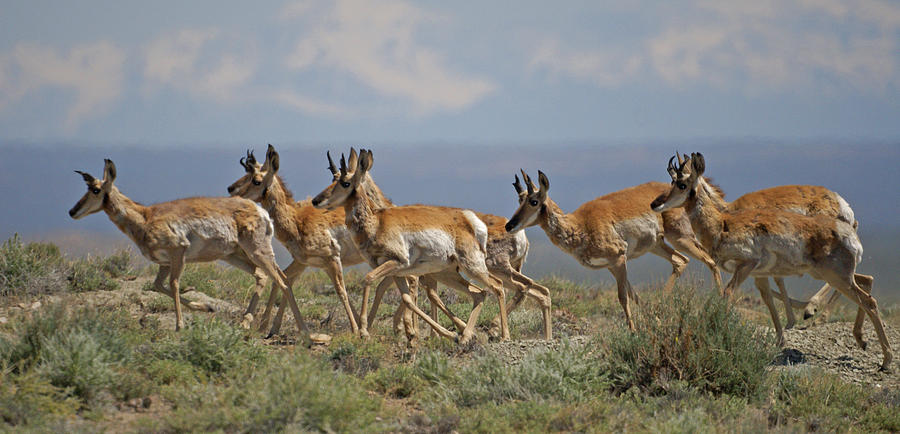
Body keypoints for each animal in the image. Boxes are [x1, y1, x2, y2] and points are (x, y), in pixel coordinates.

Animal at [69, 158, 312, 344]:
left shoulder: (178, 252)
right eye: (87, 188)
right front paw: (206, 307)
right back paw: (250, 322)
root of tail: (260, 211)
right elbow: (158, 285)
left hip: (257, 251)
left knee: (282, 281)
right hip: (235, 255)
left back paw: (305, 336)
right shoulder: (164, 263)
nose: (72, 211)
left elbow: (175, 284)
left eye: (96, 190)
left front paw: (179, 325)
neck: (145, 216)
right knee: (266, 276)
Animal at [312, 147, 506, 344]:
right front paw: (441, 334)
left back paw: (502, 335)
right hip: (448, 273)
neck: (377, 223)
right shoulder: (397, 271)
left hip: (472, 268)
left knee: (496, 285)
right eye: (333, 179)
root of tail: (469, 222)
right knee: (479, 293)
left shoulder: (397, 263)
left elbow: (368, 279)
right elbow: (407, 299)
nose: (316, 201)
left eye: (345, 183)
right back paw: (465, 336)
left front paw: (365, 331)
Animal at [506, 170, 724, 328]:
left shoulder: (619, 259)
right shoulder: (611, 266)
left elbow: (623, 297)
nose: (509, 226)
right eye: (519, 200)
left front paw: (633, 330)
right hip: (658, 245)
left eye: (534, 201)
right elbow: (633, 295)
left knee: (710, 261)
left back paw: (722, 307)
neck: (581, 225)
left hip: (680, 238)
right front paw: (651, 321)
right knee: (681, 261)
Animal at [652, 153, 888, 370]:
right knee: (867, 282)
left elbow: (728, 294)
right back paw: (860, 340)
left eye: (681, 184)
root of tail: (848, 226)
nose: (655, 204)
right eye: (672, 181)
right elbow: (767, 299)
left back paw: (884, 360)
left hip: (836, 276)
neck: (722, 222)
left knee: (869, 300)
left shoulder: (747, 266)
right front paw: (780, 340)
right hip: (832, 274)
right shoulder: (759, 274)